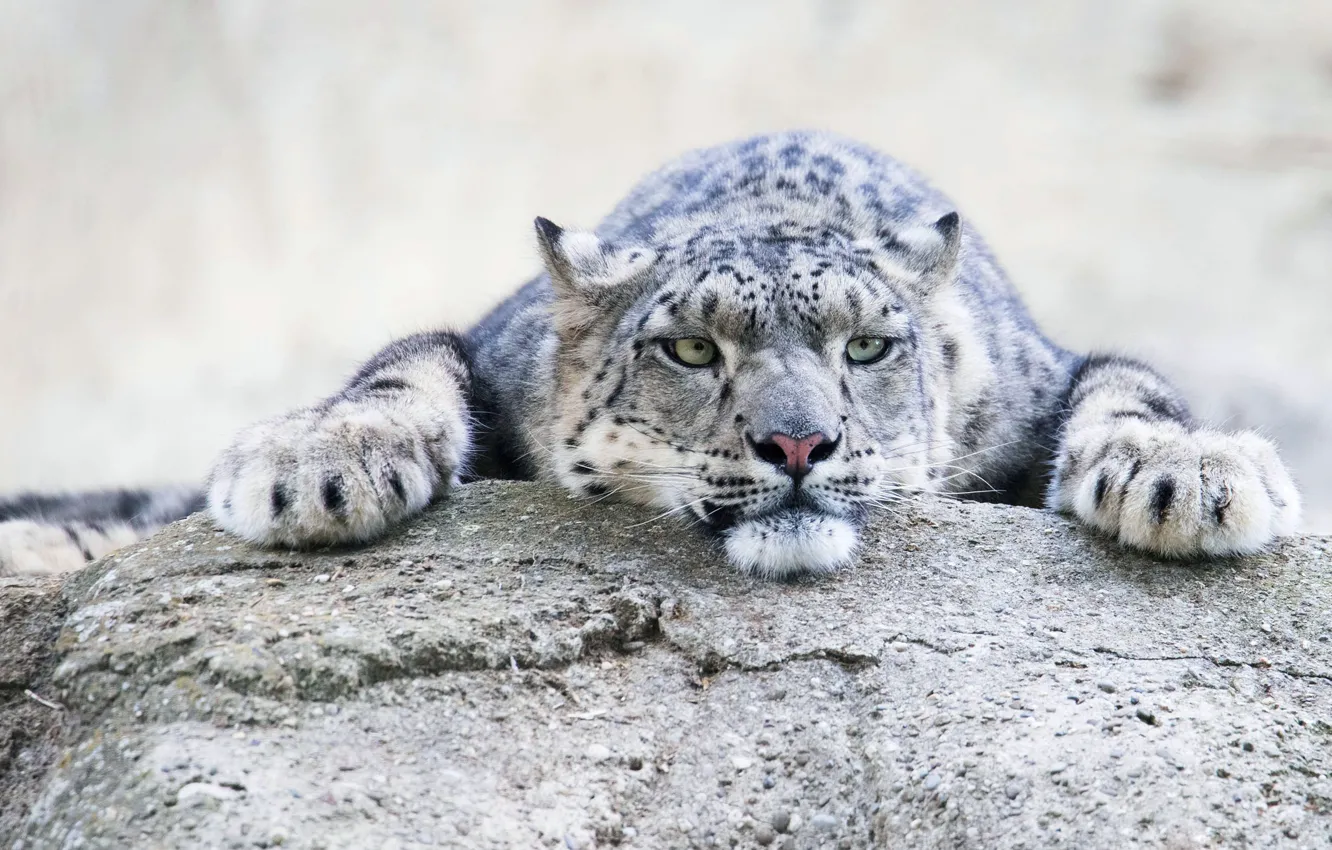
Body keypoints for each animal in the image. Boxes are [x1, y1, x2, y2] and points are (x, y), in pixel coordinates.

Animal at [0, 131, 1301, 579]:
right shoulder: (487, 353)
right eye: (687, 345)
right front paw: (321, 463)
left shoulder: (1036, 382)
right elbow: (408, 366)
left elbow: (1132, 390)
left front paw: (1194, 479)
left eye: (869, 343)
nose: (797, 442)